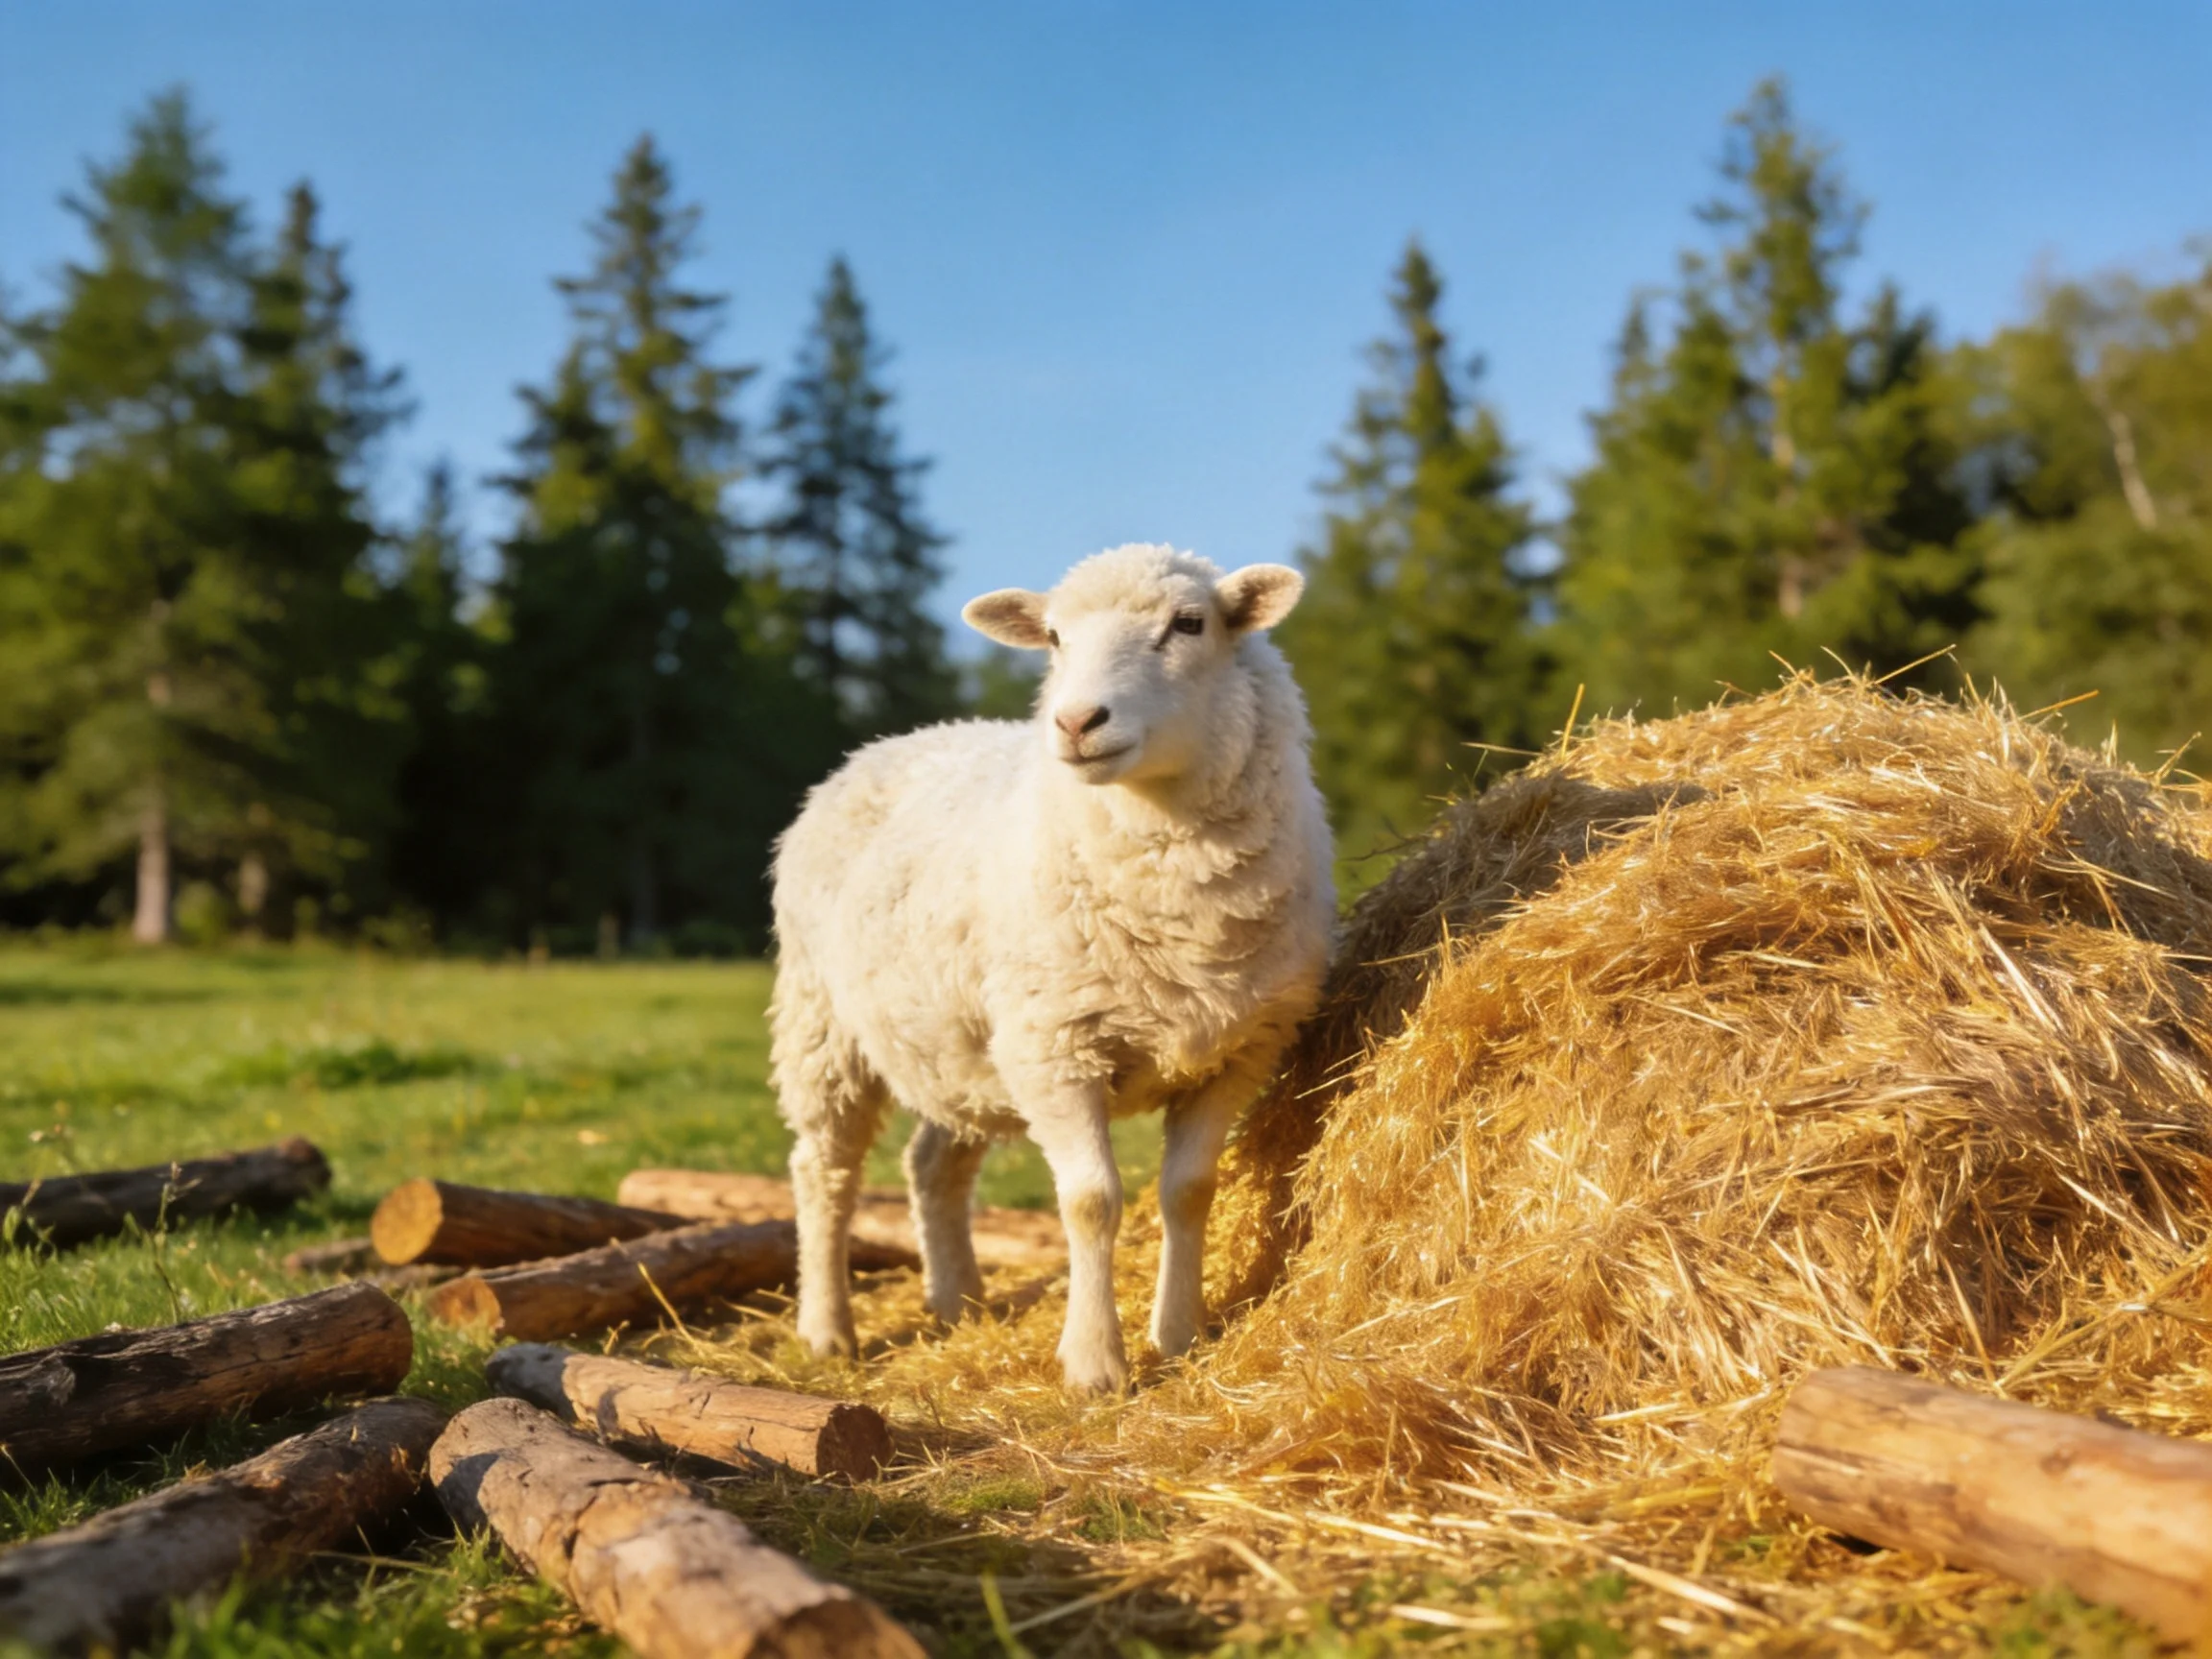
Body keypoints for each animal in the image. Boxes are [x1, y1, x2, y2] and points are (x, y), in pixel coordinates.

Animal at [769, 543, 1335, 1393]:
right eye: (1056, 639)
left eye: (1189, 623)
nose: (1075, 722)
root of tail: (886, 743)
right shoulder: (1056, 1049)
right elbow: (1093, 1203)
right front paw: (1095, 1363)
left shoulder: (1239, 1050)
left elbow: (1188, 1193)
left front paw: (1180, 1336)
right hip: (822, 1022)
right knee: (824, 1171)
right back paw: (827, 1328)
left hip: (960, 1045)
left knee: (932, 1164)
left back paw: (958, 1301)